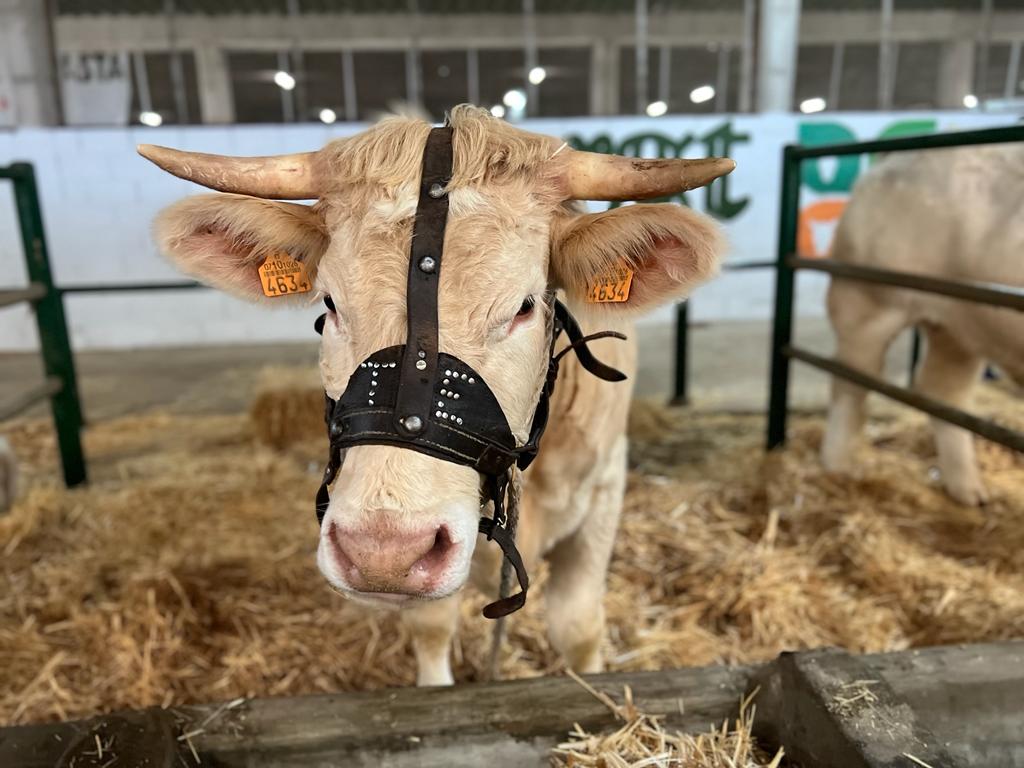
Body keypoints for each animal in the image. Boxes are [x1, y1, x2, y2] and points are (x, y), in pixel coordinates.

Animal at [142, 107, 737, 684]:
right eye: (329, 303)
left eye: (524, 307)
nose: (382, 551)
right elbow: (431, 629)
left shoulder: (605, 489)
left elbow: (579, 627)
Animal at [823, 145, 1024, 507]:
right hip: (865, 304)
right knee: (849, 385)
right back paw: (837, 468)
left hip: (960, 328)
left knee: (942, 392)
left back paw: (970, 491)